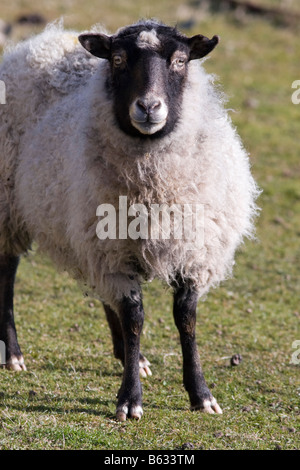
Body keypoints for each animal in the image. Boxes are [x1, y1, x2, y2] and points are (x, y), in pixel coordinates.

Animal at [0, 19, 258, 422]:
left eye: (180, 60)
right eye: (118, 59)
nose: (149, 106)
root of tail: (43, 40)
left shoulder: (190, 253)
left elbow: (185, 317)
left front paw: (200, 395)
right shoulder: (115, 253)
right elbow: (135, 317)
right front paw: (130, 400)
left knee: (107, 296)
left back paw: (130, 358)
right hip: (11, 203)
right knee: (8, 269)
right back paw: (12, 353)